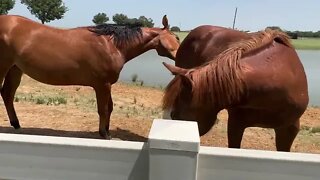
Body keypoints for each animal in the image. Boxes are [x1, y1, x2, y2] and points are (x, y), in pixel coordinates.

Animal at [0, 14, 180, 139]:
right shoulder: (102, 85)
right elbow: (103, 109)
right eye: (176, 37)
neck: (111, 45)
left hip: (15, 70)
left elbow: (110, 108)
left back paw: (17, 125)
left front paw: (106, 131)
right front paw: (104, 134)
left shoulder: (107, 85)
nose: (178, 57)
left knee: (7, 94)